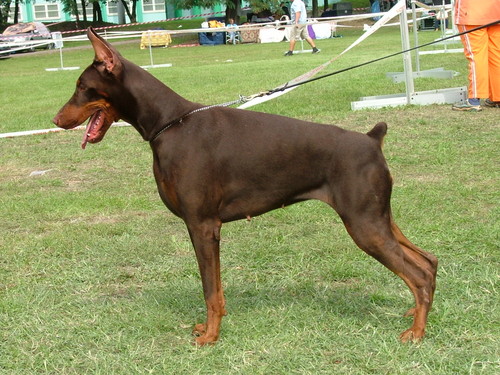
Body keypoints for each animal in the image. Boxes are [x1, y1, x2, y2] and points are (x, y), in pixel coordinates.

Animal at [52, 27, 438, 346]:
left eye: (81, 87)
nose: (55, 120)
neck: (170, 124)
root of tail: (372, 139)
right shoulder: (207, 228)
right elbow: (217, 289)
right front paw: (210, 327)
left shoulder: (202, 225)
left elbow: (209, 289)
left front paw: (210, 337)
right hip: (378, 217)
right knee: (429, 261)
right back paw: (416, 312)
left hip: (364, 224)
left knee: (417, 273)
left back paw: (416, 332)